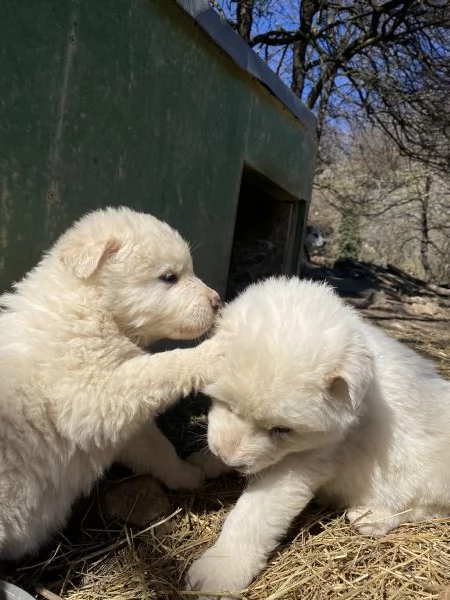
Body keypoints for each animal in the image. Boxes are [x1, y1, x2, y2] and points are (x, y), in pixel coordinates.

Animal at [0, 205, 221, 556]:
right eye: (169, 277)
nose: (217, 300)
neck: (91, 306)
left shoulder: (120, 422)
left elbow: (155, 446)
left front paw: (186, 474)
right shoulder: (91, 398)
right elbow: (158, 368)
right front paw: (210, 354)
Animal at [186, 278, 450, 596]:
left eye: (282, 430)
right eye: (228, 405)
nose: (230, 459)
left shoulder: (300, 465)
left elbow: (252, 516)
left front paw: (219, 570)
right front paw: (202, 463)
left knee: (422, 508)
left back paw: (372, 518)